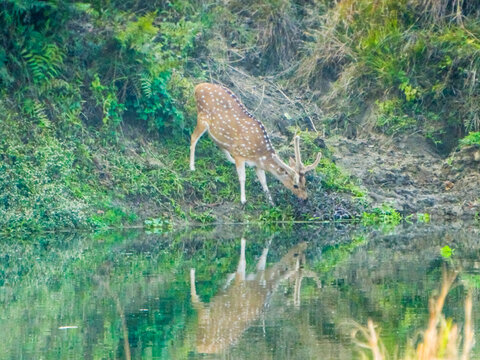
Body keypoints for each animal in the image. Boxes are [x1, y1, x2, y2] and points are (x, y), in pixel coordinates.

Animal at [191, 82, 322, 204]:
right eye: (295, 185)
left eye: (305, 182)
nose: (305, 198)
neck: (259, 154)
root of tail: (197, 87)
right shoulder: (240, 154)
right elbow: (242, 177)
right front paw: (243, 199)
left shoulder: (257, 165)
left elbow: (263, 181)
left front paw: (271, 202)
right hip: (202, 117)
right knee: (193, 138)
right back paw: (192, 167)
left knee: (215, 140)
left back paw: (229, 159)